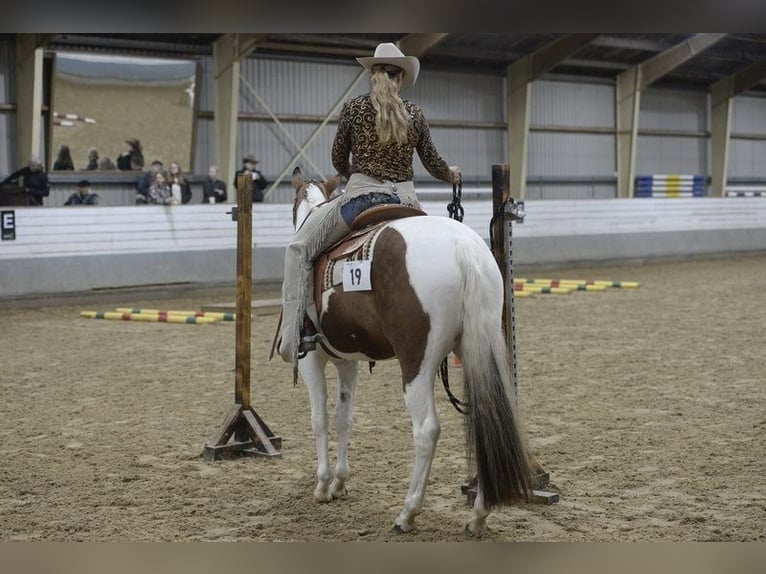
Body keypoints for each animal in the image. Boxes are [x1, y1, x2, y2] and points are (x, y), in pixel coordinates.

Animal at [285, 167, 533, 535]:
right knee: (487, 415)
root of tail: (464, 248)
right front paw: (340, 482)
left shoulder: (311, 360)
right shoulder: (348, 362)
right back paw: (478, 514)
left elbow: (320, 419)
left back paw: (408, 512)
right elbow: (344, 418)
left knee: (427, 430)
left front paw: (323, 485)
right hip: (479, 346)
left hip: (417, 363)